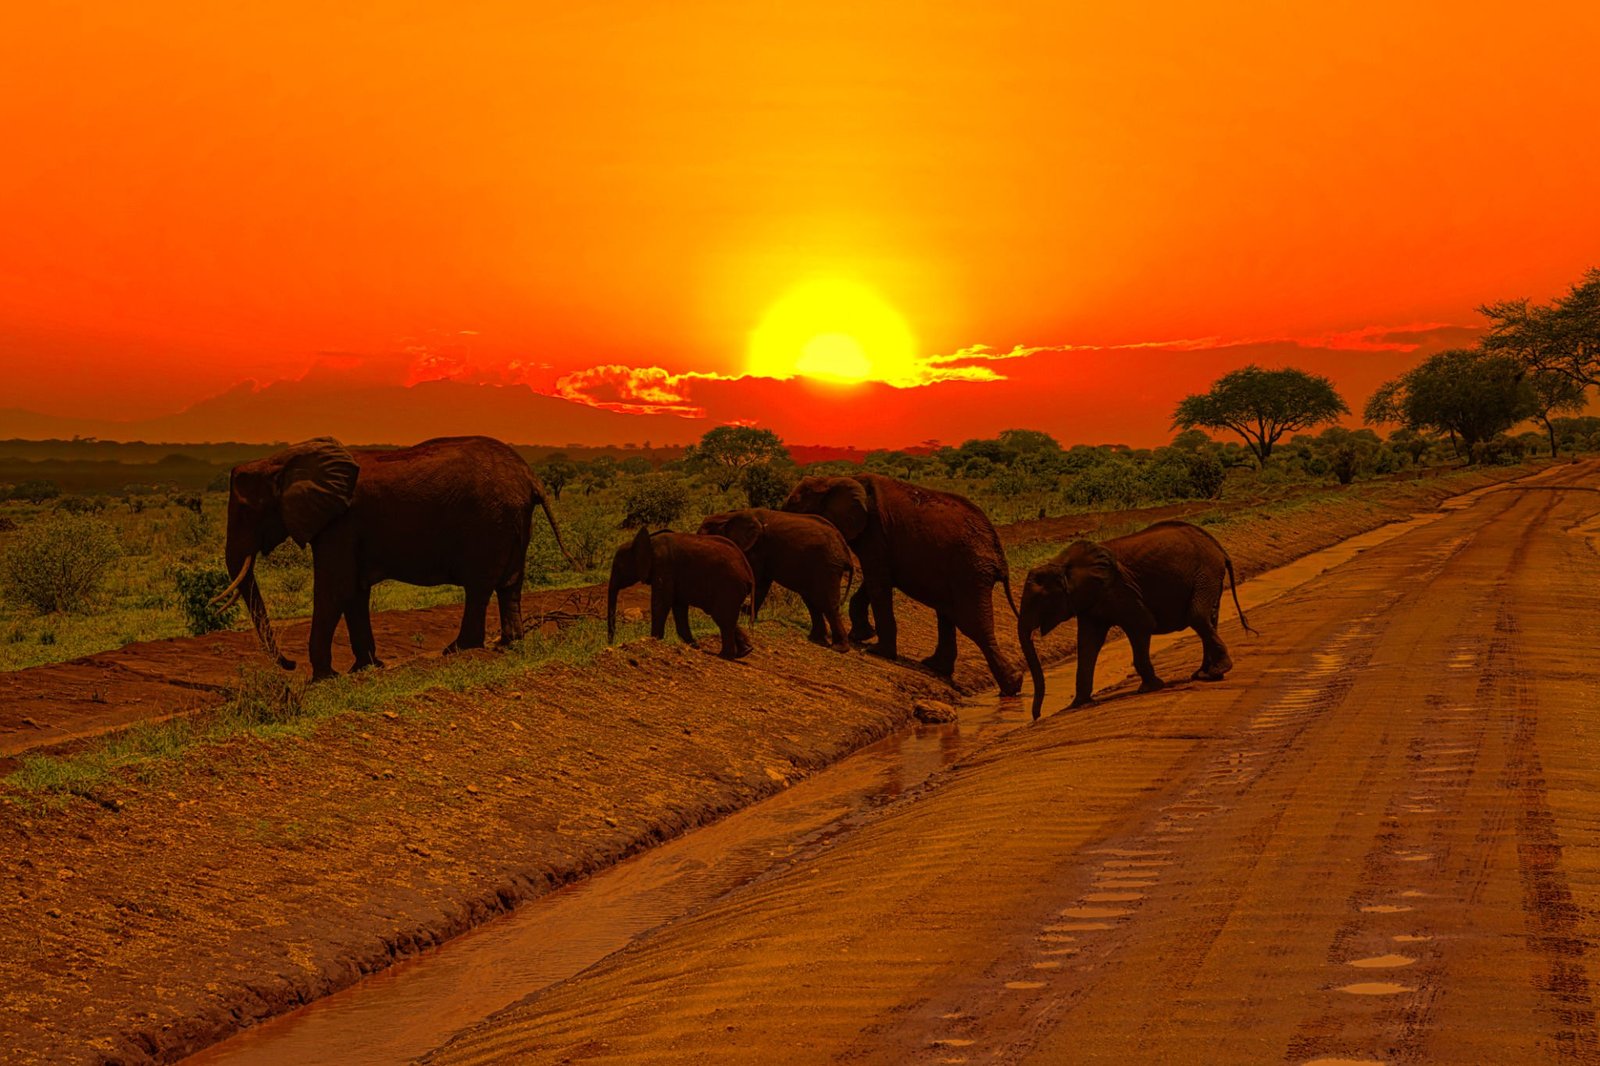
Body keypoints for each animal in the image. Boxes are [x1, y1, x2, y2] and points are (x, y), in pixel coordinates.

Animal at [212, 435, 576, 675]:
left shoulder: (340, 524)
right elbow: (354, 591)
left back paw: (458, 650)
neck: (283, 460)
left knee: (479, 587)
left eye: (246, 511)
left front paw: (324, 678)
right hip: (512, 520)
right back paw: (508, 644)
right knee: (510, 584)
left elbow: (335, 589)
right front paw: (365, 668)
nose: (289, 663)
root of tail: (530, 477)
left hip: (489, 523)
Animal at [604, 524, 755, 656]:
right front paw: (695, 647)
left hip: (729, 587)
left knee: (722, 618)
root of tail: (749, 572)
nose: (610, 643)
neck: (647, 541)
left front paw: (654, 641)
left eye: (618, 567)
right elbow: (678, 607)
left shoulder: (663, 566)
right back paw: (746, 651)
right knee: (725, 617)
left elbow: (661, 603)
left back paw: (725, 655)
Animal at [697, 505, 857, 646]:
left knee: (827, 603)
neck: (729, 515)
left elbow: (756, 579)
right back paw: (816, 639)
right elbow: (762, 582)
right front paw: (746, 614)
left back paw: (839, 647)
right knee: (811, 601)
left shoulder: (758, 547)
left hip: (827, 567)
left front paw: (743, 613)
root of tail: (846, 553)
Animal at [777, 470, 1024, 688]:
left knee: (973, 624)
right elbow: (874, 581)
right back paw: (935, 666)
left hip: (970, 572)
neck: (835, 479)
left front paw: (876, 651)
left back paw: (1012, 685)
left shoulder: (875, 531)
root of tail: (999, 553)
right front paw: (862, 636)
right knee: (947, 614)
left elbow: (877, 583)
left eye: (794, 504)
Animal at [1011, 518, 1260, 717]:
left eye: (1038, 600)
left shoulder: (1119, 588)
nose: (1036, 716)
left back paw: (1215, 672)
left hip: (1206, 573)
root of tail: (1219, 547)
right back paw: (1204, 674)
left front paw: (1151, 688)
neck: (1063, 564)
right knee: (1208, 618)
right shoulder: (1091, 599)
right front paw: (1077, 705)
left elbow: (1141, 624)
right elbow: (1088, 644)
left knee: (1197, 616)